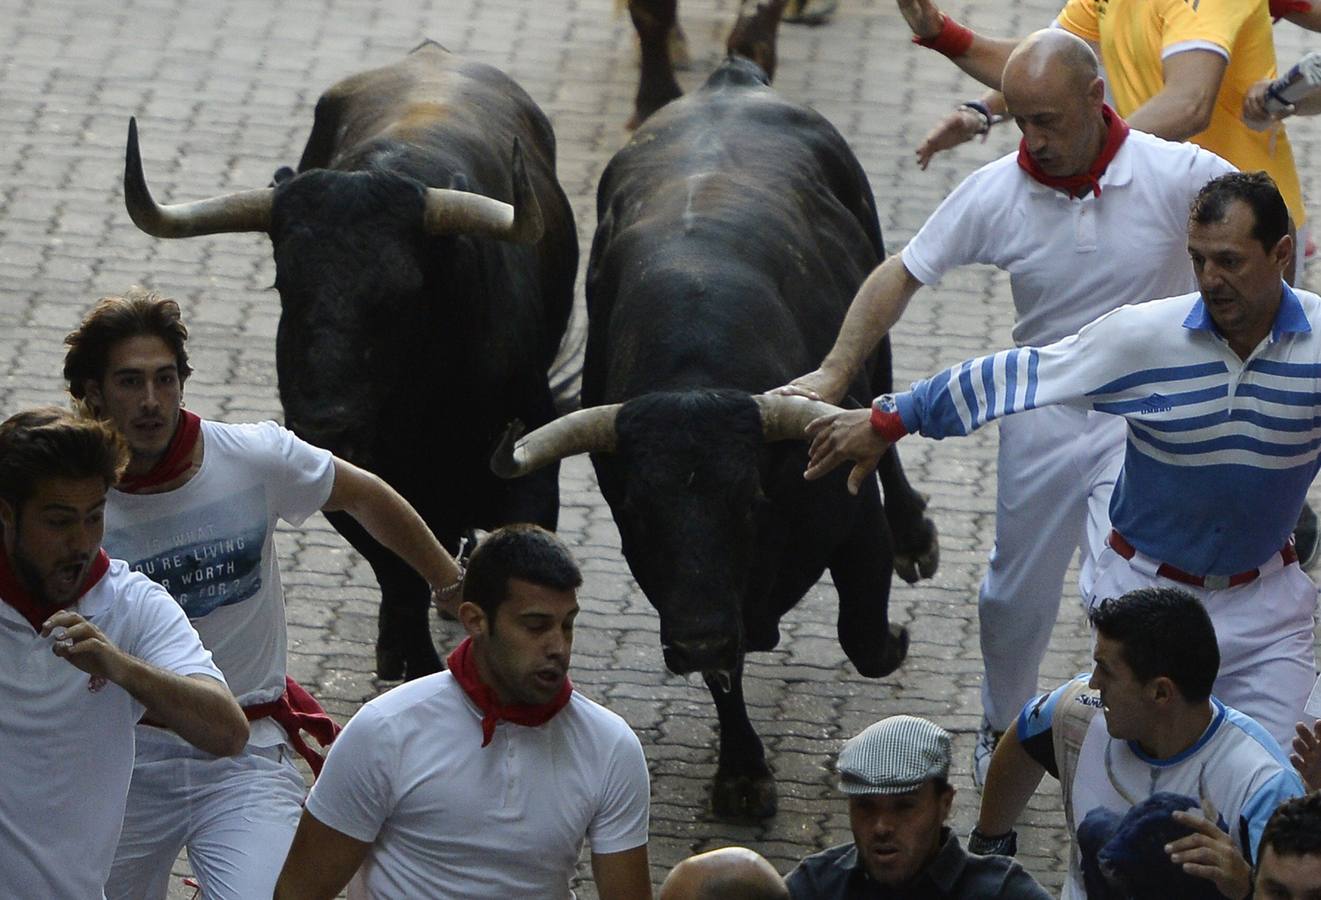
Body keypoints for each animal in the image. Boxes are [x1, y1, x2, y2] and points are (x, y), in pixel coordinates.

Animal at [124, 40, 578, 674]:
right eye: (285, 283)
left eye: (406, 293)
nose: (325, 422)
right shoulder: (345, 479)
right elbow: (400, 570)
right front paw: (412, 661)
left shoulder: (529, 462)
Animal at [494, 54, 940, 814]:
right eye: (640, 512)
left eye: (750, 501)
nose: (698, 641)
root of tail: (730, 80)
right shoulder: (677, 589)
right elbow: (723, 673)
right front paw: (741, 772)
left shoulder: (853, 525)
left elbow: (863, 637)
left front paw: (896, 635)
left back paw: (916, 534)